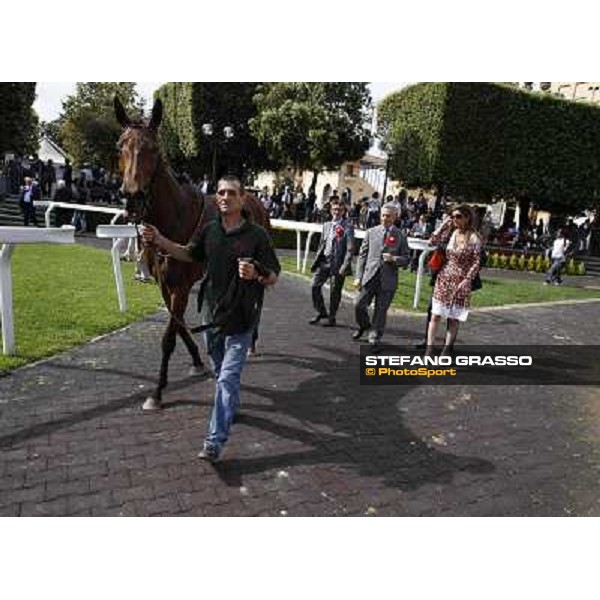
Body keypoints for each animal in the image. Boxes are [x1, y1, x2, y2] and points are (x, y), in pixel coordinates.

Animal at [113, 96, 268, 410]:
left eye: (154, 149)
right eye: (120, 146)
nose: (133, 197)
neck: (175, 217)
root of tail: (254, 197)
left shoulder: (181, 286)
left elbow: (169, 337)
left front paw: (157, 392)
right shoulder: (166, 285)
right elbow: (179, 326)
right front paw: (198, 361)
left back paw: (252, 341)